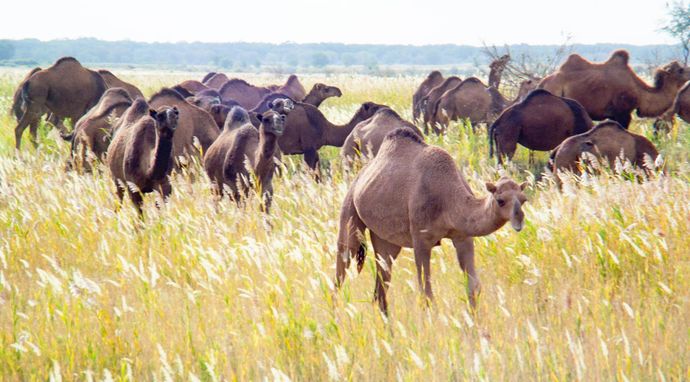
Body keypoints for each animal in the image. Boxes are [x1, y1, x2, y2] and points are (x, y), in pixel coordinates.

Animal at [334, 128, 528, 314]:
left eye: (523, 199)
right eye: (500, 200)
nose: (519, 221)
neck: (448, 195)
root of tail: (359, 177)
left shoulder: (462, 236)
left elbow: (473, 287)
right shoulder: (421, 239)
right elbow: (426, 292)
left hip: (386, 239)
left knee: (381, 283)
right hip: (350, 211)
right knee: (342, 266)